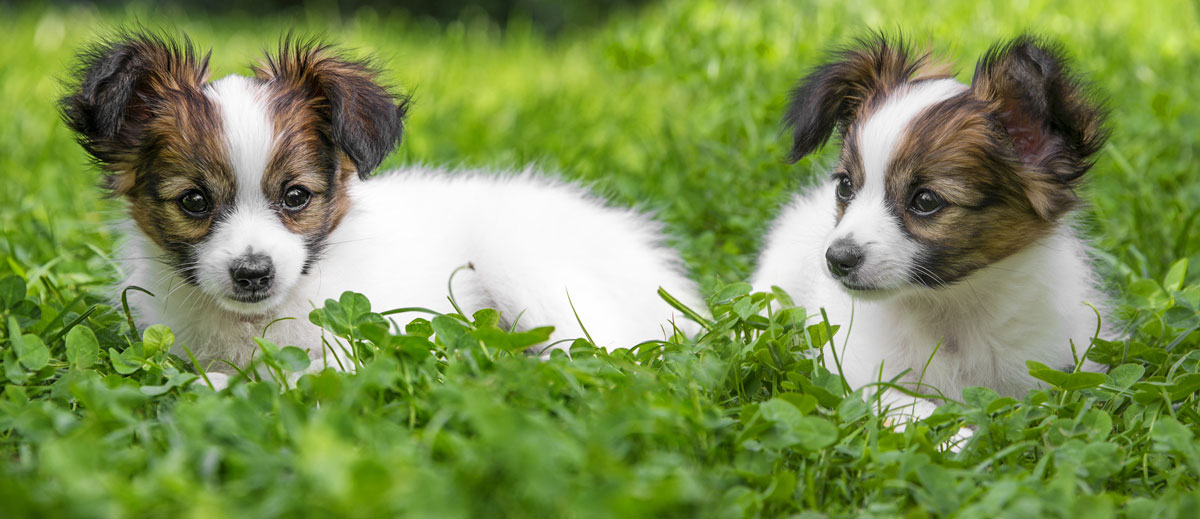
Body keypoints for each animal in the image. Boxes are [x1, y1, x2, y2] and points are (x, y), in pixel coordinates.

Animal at [60, 31, 700, 384]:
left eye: (296, 196)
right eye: (194, 201)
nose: (253, 273)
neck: (257, 321)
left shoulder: (348, 352)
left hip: (528, 269)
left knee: (607, 354)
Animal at [753, 32, 1108, 437]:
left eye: (925, 201)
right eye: (844, 186)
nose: (837, 259)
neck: (947, 306)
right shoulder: (859, 371)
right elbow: (912, 407)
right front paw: (959, 439)